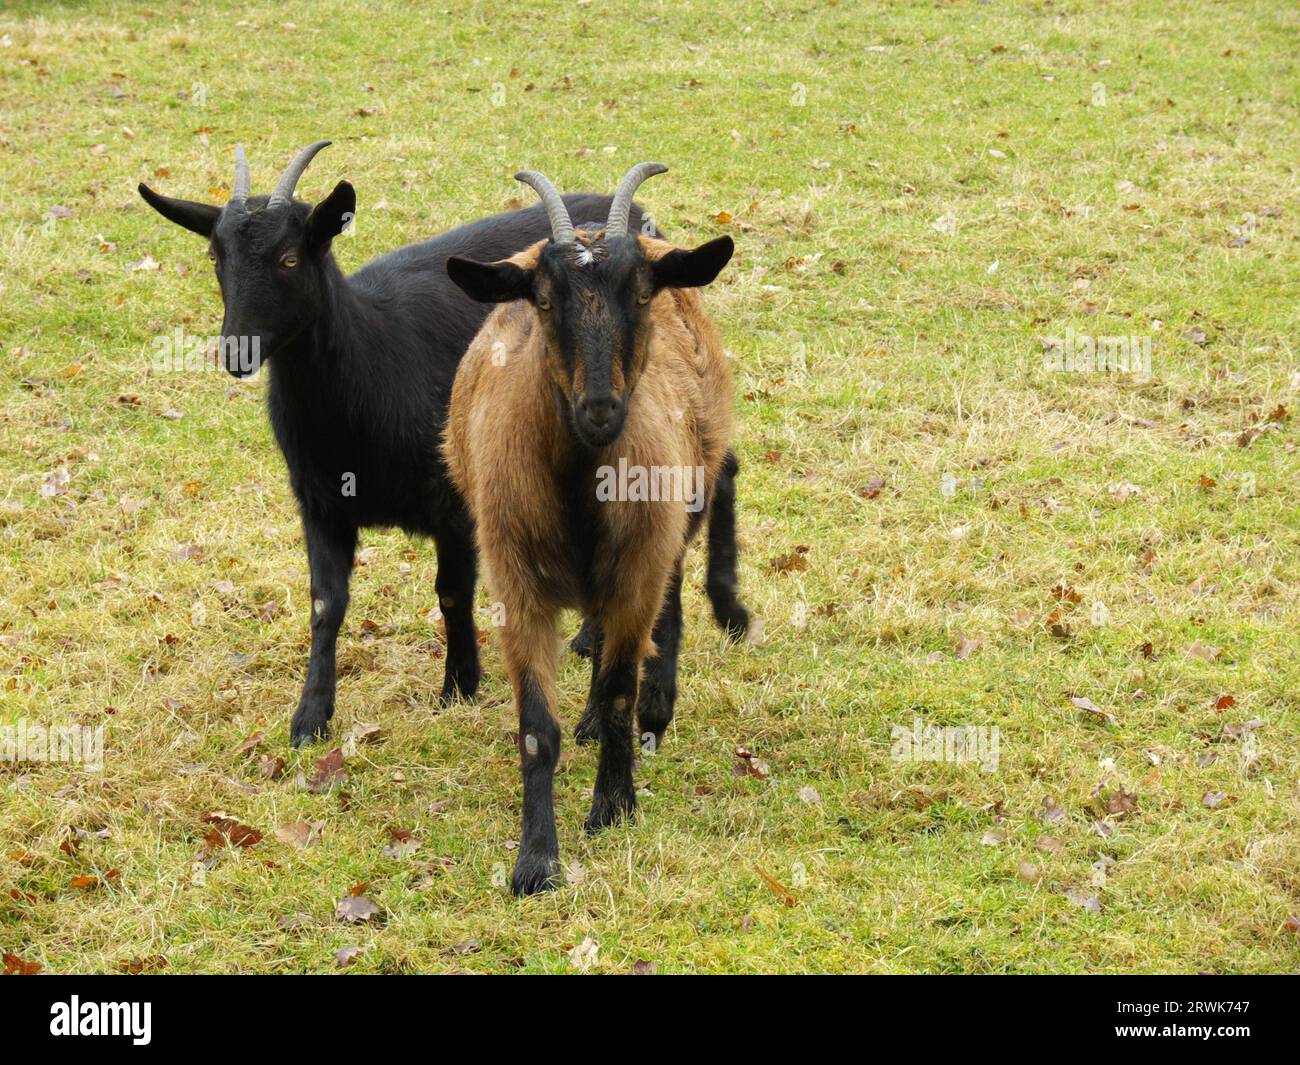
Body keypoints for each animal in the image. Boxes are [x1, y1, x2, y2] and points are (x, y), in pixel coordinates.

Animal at [139, 141, 647, 743]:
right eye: (216, 256)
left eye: (290, 259)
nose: (237, 350)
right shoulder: (320, 504)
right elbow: (325, 605)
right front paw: (310, 717)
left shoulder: (452, 503)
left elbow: (450, 591)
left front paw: (459, 685)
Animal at [441, 164, 748, 889]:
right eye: (543, 300)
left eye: (640, 293)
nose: (601, 409)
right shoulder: (517, 585)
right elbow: (536, 728)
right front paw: (535, 860)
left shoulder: (639, 569)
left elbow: (616, 691)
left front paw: (612, 806)